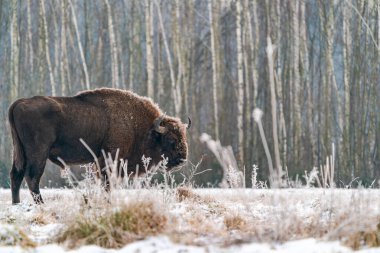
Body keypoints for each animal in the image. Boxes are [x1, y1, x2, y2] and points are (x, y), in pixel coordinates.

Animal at [8, 88, 191, 205]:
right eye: (171, 139)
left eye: (184, 136)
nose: (182, 159)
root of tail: (18, 103)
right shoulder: (109, 159)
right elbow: (107, 184)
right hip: (38, 154)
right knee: (32, 177)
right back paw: (41, 204)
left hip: (19, 152)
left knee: (16, 175)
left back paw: (16, 203)